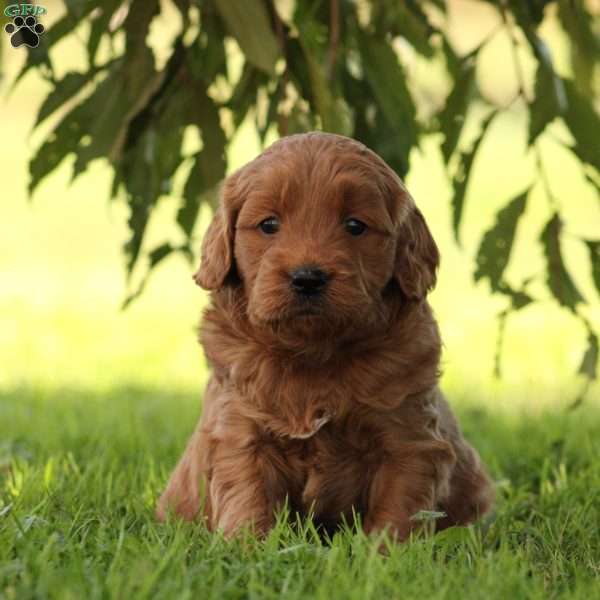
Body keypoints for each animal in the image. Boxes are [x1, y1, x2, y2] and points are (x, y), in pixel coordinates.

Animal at [157, 131, 494, 540]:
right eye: (269, 224)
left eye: (355, 225)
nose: (307, 277)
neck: (314, 354)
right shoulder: (240, 430)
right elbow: (248, 499)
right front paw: (247, 547)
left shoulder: (409, 438)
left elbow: (398, 508)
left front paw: (386, 552)